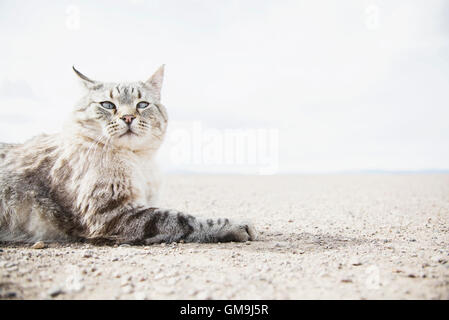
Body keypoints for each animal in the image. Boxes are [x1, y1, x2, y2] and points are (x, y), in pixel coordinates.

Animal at [0, 65, 256, 245]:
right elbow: (185, 219)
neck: (140, 160)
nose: (128, 117)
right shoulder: (113, 214)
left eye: (142, 105)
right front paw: (235, 225)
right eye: (107, 105)